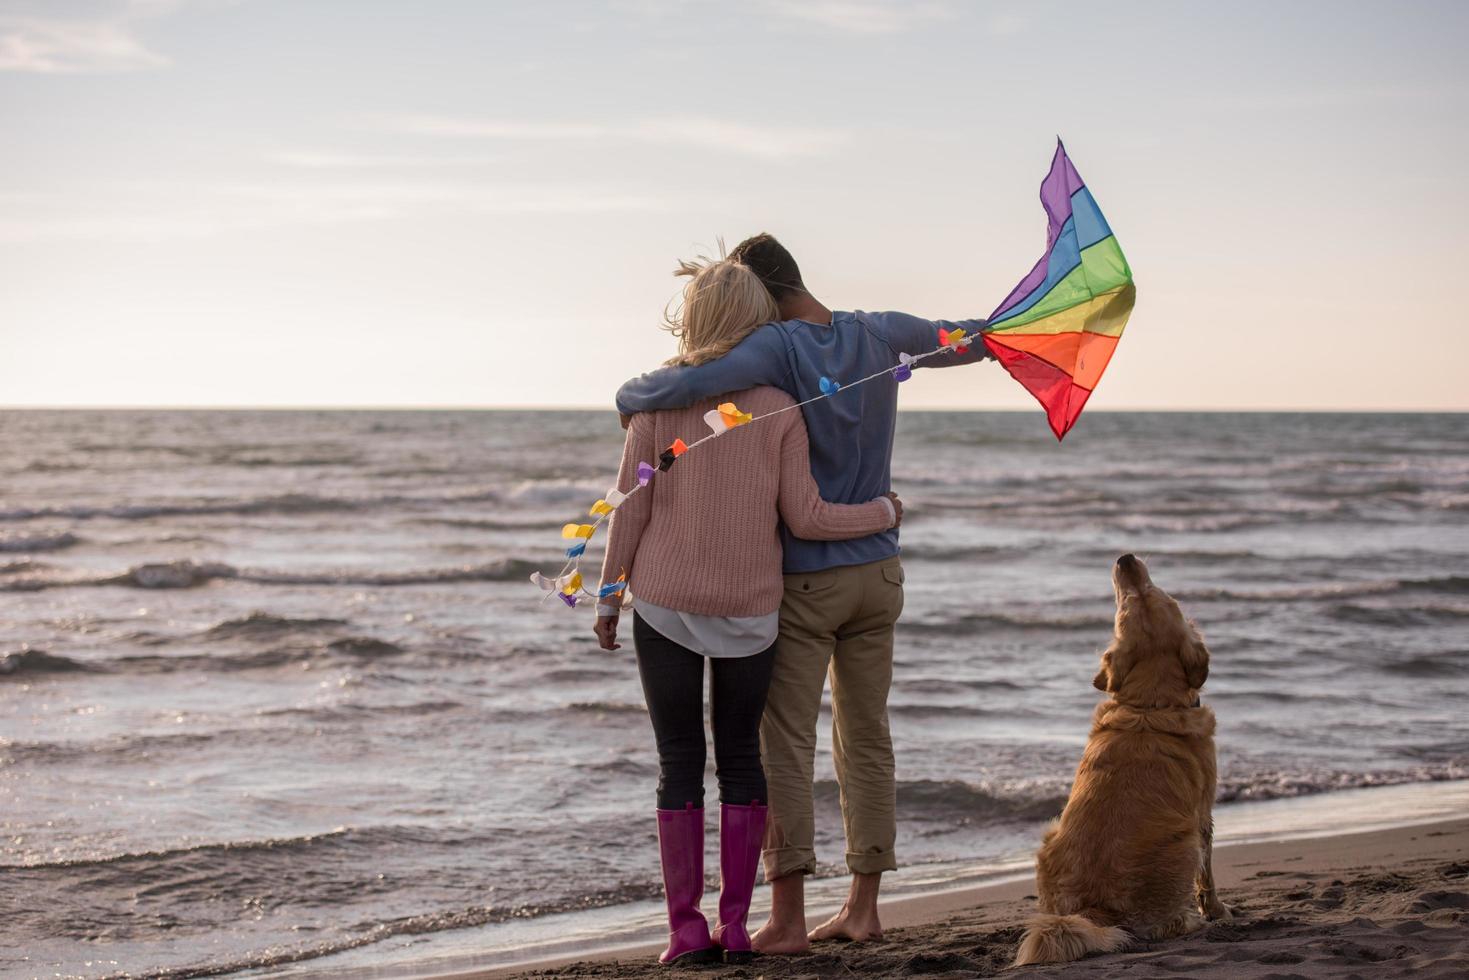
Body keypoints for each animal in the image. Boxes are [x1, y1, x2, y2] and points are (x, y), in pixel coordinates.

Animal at [1016, 555, 1222, 969]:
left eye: (1151, 593)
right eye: (1127, 603)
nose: (1125, 559)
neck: (1149, 705)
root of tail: (1098, 910)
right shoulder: (1204, 814)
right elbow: (1208, 877)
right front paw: (1218, 911)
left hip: (1048, 839)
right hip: (1186, 842)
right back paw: (1194, 922)